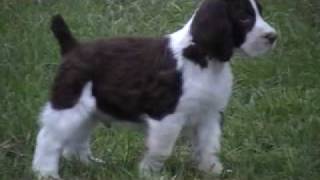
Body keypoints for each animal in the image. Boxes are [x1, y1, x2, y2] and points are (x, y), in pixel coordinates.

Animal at [33, 0, 278, 179]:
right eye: (244, 17)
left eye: (260, 12)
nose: (273, 37)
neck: (201, 58)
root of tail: (72, 47)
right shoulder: (166, 117)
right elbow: (161, 150)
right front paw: (149, 173)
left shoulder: (209, 115)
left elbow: (209, 147)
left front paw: (212, 171)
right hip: (68, 105)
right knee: (48, 139)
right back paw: (46, 173)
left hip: (89, 112)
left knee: (76, 140)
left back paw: (89, 165)